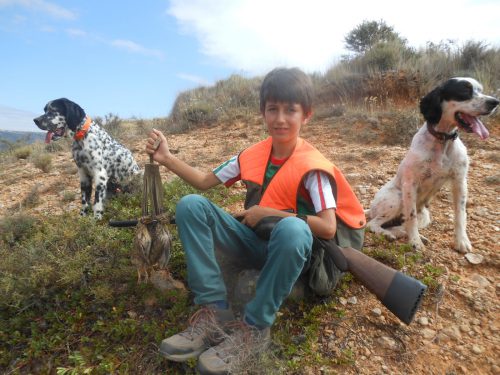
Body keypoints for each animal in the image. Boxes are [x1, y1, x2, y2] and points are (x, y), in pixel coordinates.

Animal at [366, 78, 498, 254]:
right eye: (464, 91)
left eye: (480, 90)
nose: (495, 102)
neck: (442, 141)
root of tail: (370, 209)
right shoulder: (410, 184)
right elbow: (411, 217)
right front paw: (415, 242)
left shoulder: (460, 182)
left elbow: (460, 215)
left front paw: (461, 241)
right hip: (397, 198)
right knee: (373, 224)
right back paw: (389, 234)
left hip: (425, 215)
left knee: (401, 225)